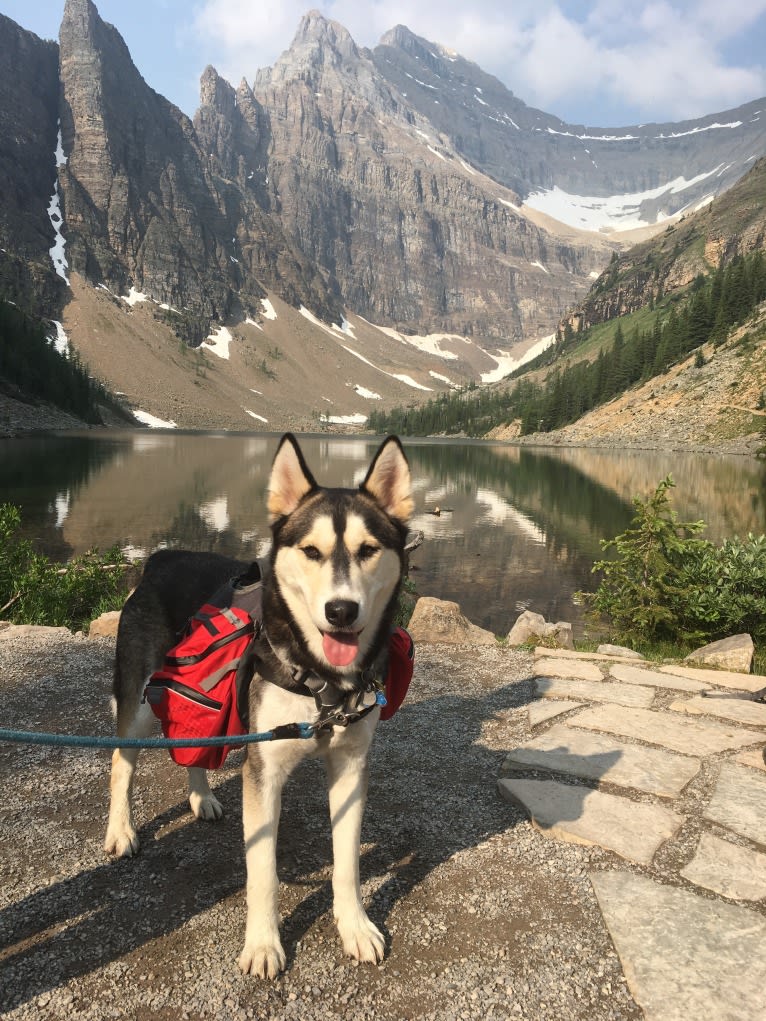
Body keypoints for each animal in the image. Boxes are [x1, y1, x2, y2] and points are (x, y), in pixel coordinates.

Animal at [104, 430, 414, 971]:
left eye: (369, 549)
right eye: (311, 550)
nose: (340, 610)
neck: (321, 679)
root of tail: (162, 558)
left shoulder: (350, 766)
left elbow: (347, 862)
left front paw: (354, 926)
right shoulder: (264, 772)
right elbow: (263, 871)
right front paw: (264, 944)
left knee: (194, 745)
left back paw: (202, 797)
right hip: (138, 702)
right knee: (122, 763)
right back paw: (120, 831)